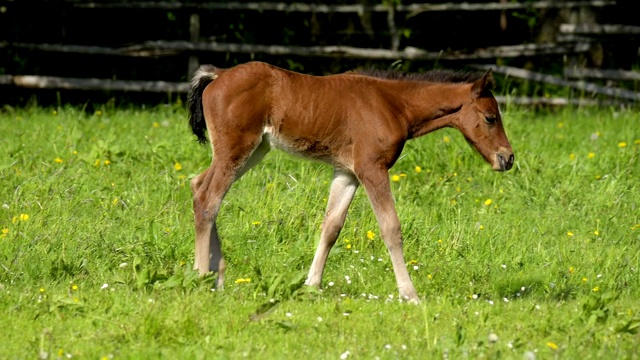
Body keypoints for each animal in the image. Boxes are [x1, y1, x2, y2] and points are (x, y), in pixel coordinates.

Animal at [186, 60, 516, 302]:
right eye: (490, 117)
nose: (508, 158)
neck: (394, 105)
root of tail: (218, 75)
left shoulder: (347, 173)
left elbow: (331, 226)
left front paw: (312, 285)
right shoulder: (372, 169)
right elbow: (391, 228)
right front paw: (410, 294)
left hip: (254, 150)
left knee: (199, 186)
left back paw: (218, 276)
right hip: (237, 148)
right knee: (208, 198)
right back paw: (202, 276)